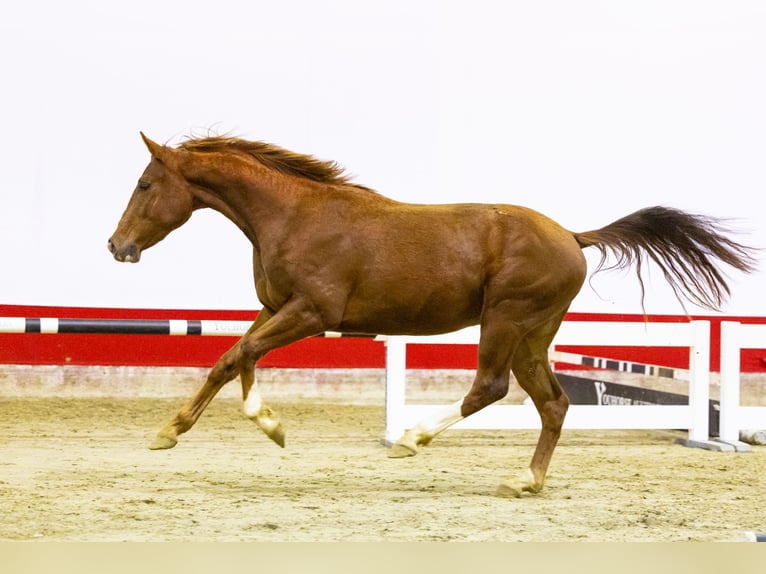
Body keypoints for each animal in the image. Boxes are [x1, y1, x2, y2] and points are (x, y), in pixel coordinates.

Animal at [106, 135, 756, 500]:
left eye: (144, 184)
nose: (117, 247)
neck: (292, 216)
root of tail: (573, 235)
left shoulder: (310, 312)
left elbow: (237, 354)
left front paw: (251, 427)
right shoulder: (274, 309)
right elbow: (232, 359)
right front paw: (196, 429)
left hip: (505, 321)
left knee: (490, 388)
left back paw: (411, 440)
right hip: (533, 335)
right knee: (552, 403)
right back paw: (526, 481)